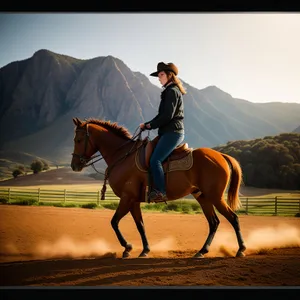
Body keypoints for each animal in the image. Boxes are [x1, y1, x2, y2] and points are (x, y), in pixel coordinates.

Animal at [71, 116, 246, 258]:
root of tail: (220, 155)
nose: (74, 165)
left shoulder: (127, 198)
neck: (123, 156)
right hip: (203, 197)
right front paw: (144, 250)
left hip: (215, 197)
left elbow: (114, 222)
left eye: (78, 140)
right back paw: (202, 251)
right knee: (214, 222)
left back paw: (240, 249)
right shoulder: (133, 201)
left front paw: (127, 247)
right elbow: (140, 225)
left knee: (233, 218)